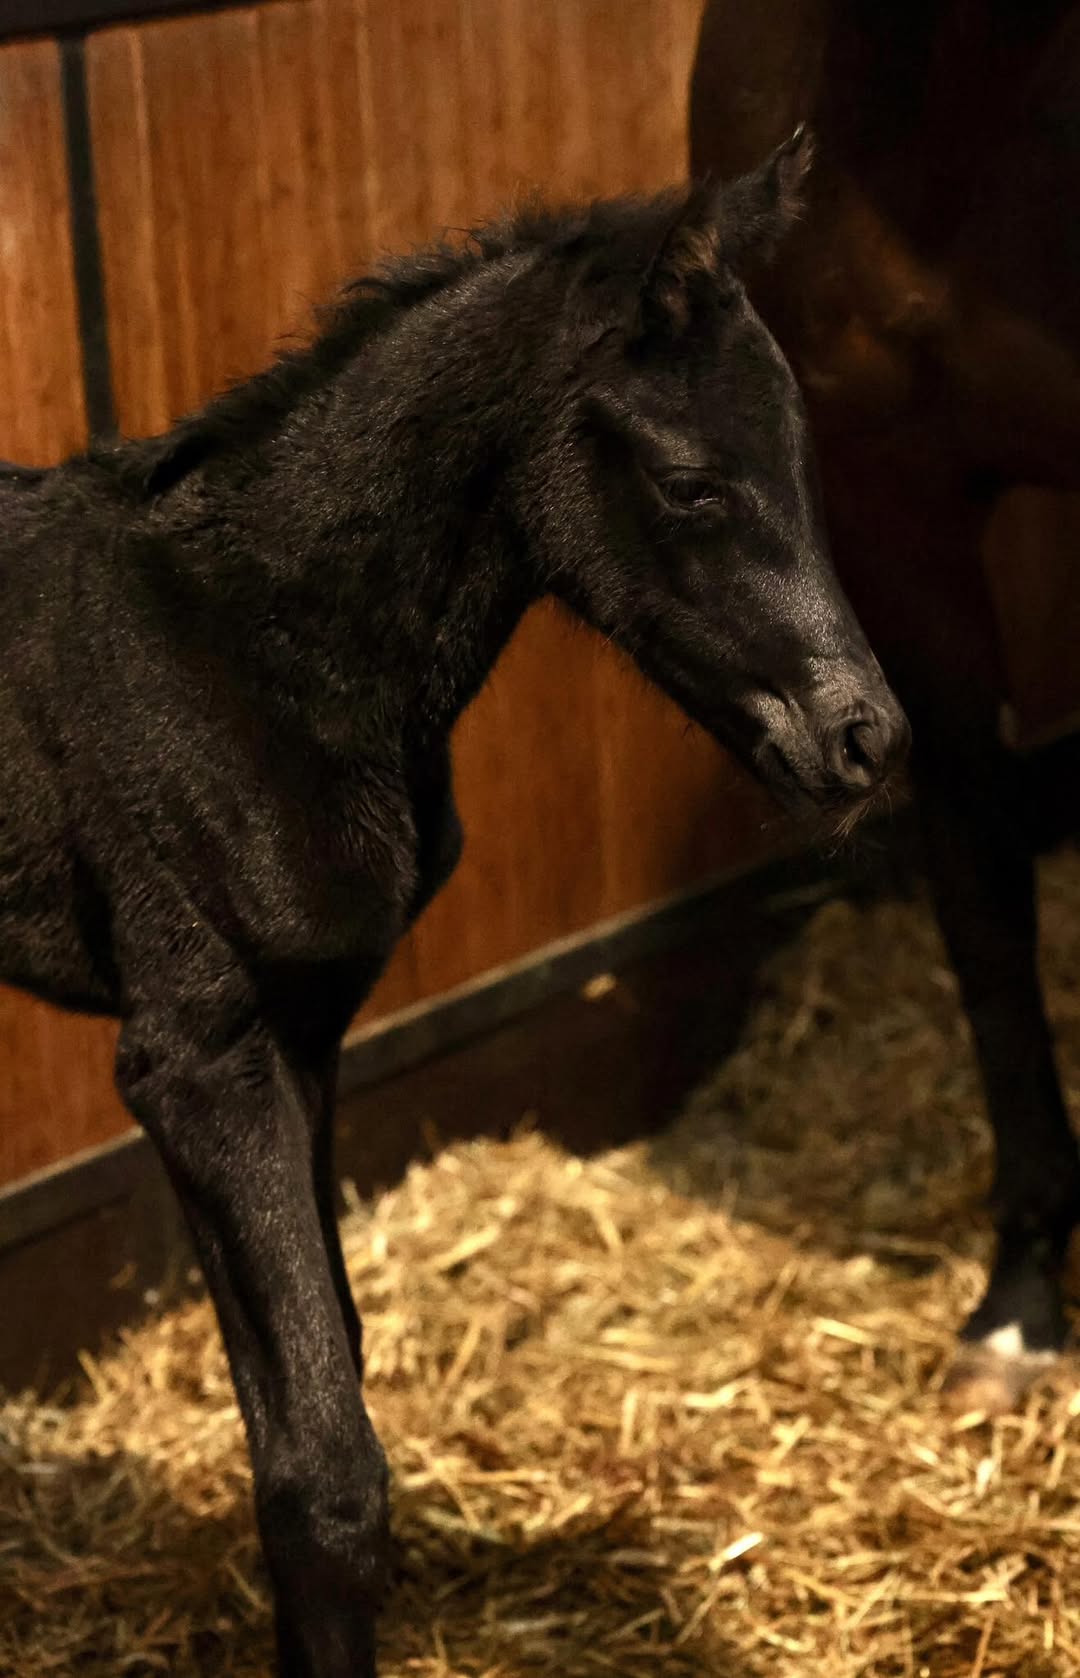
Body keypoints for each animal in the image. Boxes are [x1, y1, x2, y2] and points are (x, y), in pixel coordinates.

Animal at [0, 141, 905, 1677]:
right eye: (689, 484)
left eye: (799, 451)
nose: (865, 739)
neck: (250, 648)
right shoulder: (196, 1055)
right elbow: (325, 1472)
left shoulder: (303, 1036)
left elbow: (312, 1397)